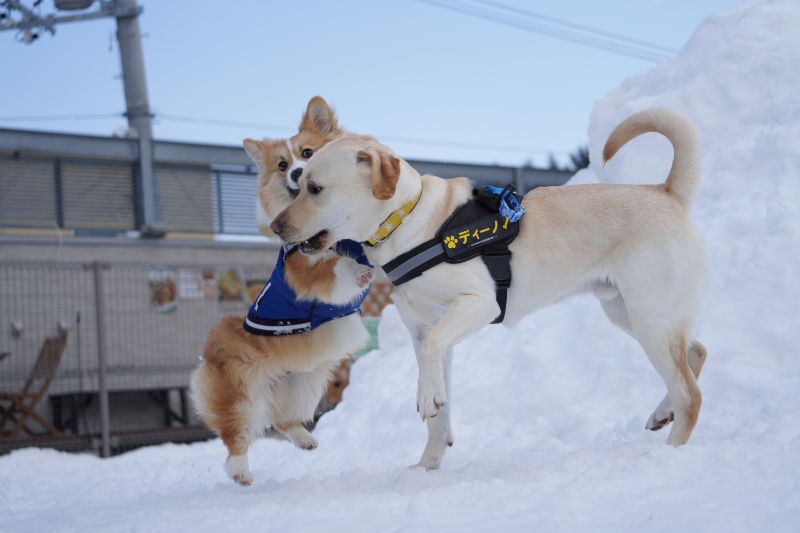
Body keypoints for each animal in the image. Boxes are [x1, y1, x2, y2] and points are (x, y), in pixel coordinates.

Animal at [191, 96, 372, 486]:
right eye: (282, 165)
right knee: (236, 437)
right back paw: (241, 473)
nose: (297, 174)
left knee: (282, 419)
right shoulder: (305, 271)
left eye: (308, 152)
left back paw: (305, 439)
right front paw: (358, 271)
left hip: (307, 381)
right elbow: (335, 270)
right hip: (241, 392)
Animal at [270, 109, 708, 470]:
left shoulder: (476, 306)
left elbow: (432, 365)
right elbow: (438, 410)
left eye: (315, 188)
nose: (275, 227)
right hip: (627, 312)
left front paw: (426, 400)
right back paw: (663, 413)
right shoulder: (424, 332)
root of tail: (665, 191)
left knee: (690, 392)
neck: (407, 222)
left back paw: (671, 450)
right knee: (696, 354)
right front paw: (427, 467)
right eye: (298, 184)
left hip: (649, 316)